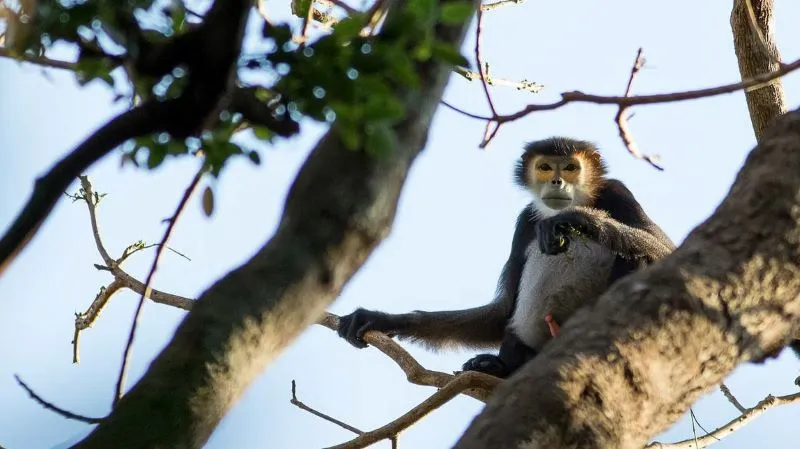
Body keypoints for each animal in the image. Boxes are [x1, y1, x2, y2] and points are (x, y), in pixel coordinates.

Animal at [336, 137, 676, 378]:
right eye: (545, 167)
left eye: (570, 168)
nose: (557, 181)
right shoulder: (525, 221)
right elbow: (501, 312)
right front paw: (382, 319)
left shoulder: (617, 191)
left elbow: (667, 252)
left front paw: (579, 218)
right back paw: (500, 368)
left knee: (636, 258)